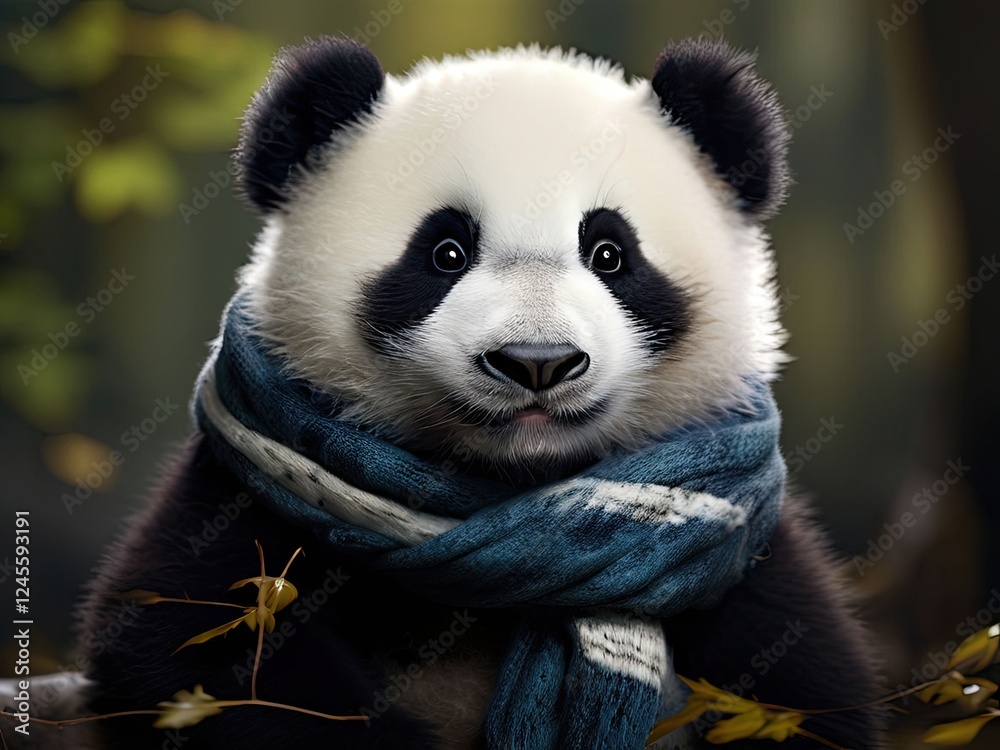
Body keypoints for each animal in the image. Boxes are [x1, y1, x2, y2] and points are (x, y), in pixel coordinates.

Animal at [73, 37, 886, 750]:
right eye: (445, 252)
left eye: (610, 253)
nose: (537, 362)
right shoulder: (244, 506)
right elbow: (190, 653)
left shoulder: (742, 556)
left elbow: (807, 691)